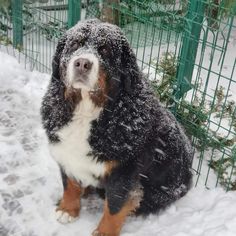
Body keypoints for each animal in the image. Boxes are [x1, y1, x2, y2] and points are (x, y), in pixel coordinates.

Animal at [40, 18, 193, 236]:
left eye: (104, 50)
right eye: (75, 44)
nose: (82, 63)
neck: (87, 111)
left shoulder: (123, 170)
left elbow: (114, 206)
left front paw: (105, 231)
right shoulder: (64, 153)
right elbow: (69, 184)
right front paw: (68, 210)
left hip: (162, 192)